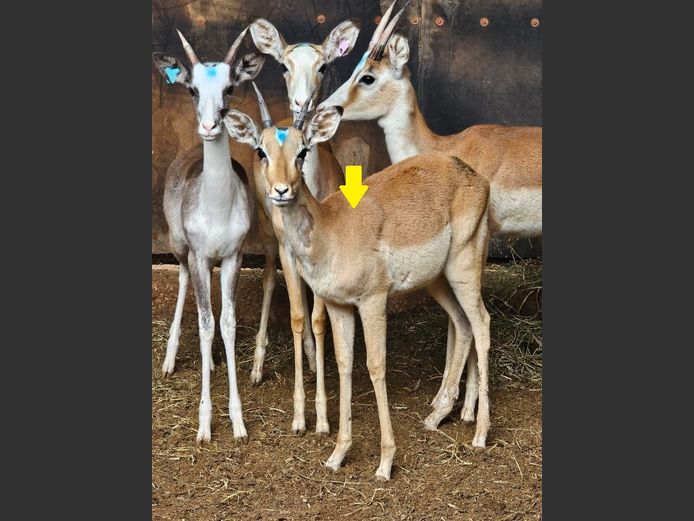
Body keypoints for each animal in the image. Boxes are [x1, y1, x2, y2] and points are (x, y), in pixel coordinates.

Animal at [152, 29, 265, 443]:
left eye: (230, 87)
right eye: (192, 89)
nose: (210, 126)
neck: (216, 208)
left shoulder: (234, 256)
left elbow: (226, 322)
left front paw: (238, 421)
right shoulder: (200, 254)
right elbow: (203, 324)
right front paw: (204, 423)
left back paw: (213, 361)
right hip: (179, 246)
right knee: (184, 280)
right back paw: (169, 360)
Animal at [224, 89, 493, 481]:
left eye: (303, 150)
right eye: (261, 150)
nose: (281, 190)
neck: (331, 229)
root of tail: (476, 177)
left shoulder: (373, 301)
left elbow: (376, 366)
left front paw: (385, 462)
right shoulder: (339, 306)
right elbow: (345, 363)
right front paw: (338, 452)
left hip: (463, 267)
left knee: (482, 324)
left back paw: (480, 433)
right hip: (438, 280)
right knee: (463, 325)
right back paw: (436, 416)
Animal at [318, 0, 542, 419]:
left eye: (368, 76)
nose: (328, 108)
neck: (445, 147)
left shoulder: (478, 242)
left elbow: (464, 321)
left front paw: (460, 407)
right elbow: (459, 323)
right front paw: (452, 403)